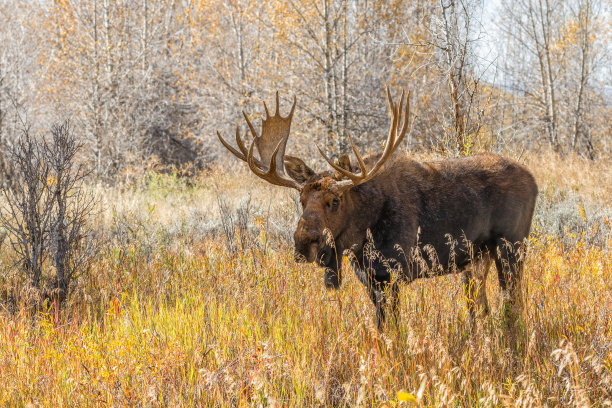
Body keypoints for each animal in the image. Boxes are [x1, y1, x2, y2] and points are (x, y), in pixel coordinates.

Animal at [218, 88, 536, 328]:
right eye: (301, 200)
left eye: (335, 201)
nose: (303, 243)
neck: (360, 237)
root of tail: (534, 180)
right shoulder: (370, 280)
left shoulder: (391, 275)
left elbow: (392, 330)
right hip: (477, 258)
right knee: (481, 309)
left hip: (511, 247)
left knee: (513, 305)